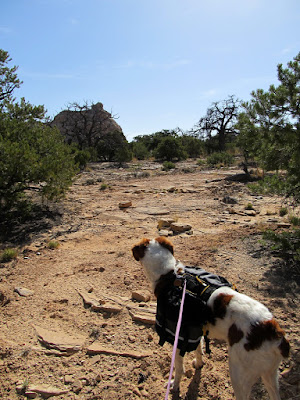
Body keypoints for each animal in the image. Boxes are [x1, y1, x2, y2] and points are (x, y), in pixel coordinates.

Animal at [132, 238, 290, 400]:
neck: (170, 275)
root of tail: (274, 333)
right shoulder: (195, 332)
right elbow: (199, 348)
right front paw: (199, 364)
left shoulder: (178, 337)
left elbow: (179, 369)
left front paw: (174, 386)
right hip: (270, 375)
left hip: (239, 374)